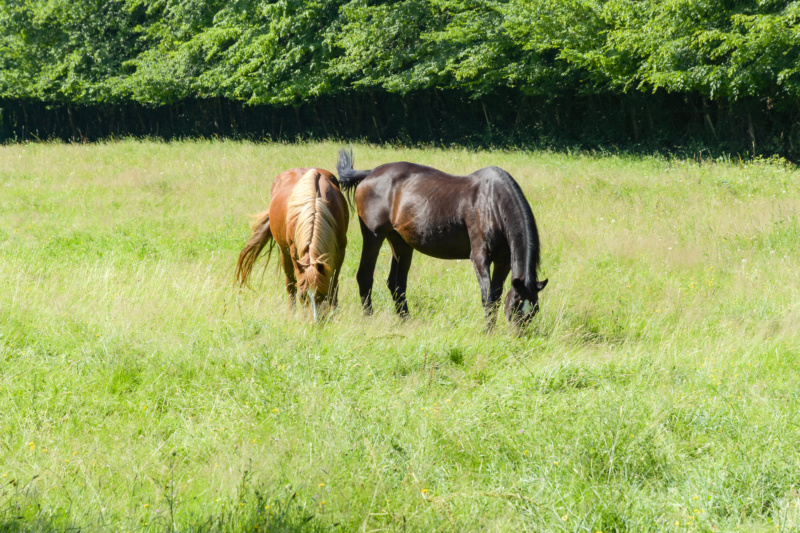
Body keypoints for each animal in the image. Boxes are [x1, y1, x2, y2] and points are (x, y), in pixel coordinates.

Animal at [238, 167, 350, 320]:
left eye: (322, 294)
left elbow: (334, 284)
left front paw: (333, 313)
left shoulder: (340, 252)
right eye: (303, 296)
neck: (315, 205)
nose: (315, 322)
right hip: (283, 252)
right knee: (290, 283)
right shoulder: (293, 253)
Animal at [334, 148, 548, 326]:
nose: (518, 335)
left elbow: (495, 296)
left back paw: (406, 321)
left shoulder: (503, 261)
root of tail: (369, 173)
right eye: (515, 306)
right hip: (374, 236)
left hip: (401, 242)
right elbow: (487, 297)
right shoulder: (480, 257)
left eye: (535, 310)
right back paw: (369, 318)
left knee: (396, 284)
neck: (492, 202)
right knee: (365, 276)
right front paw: (488, 331)